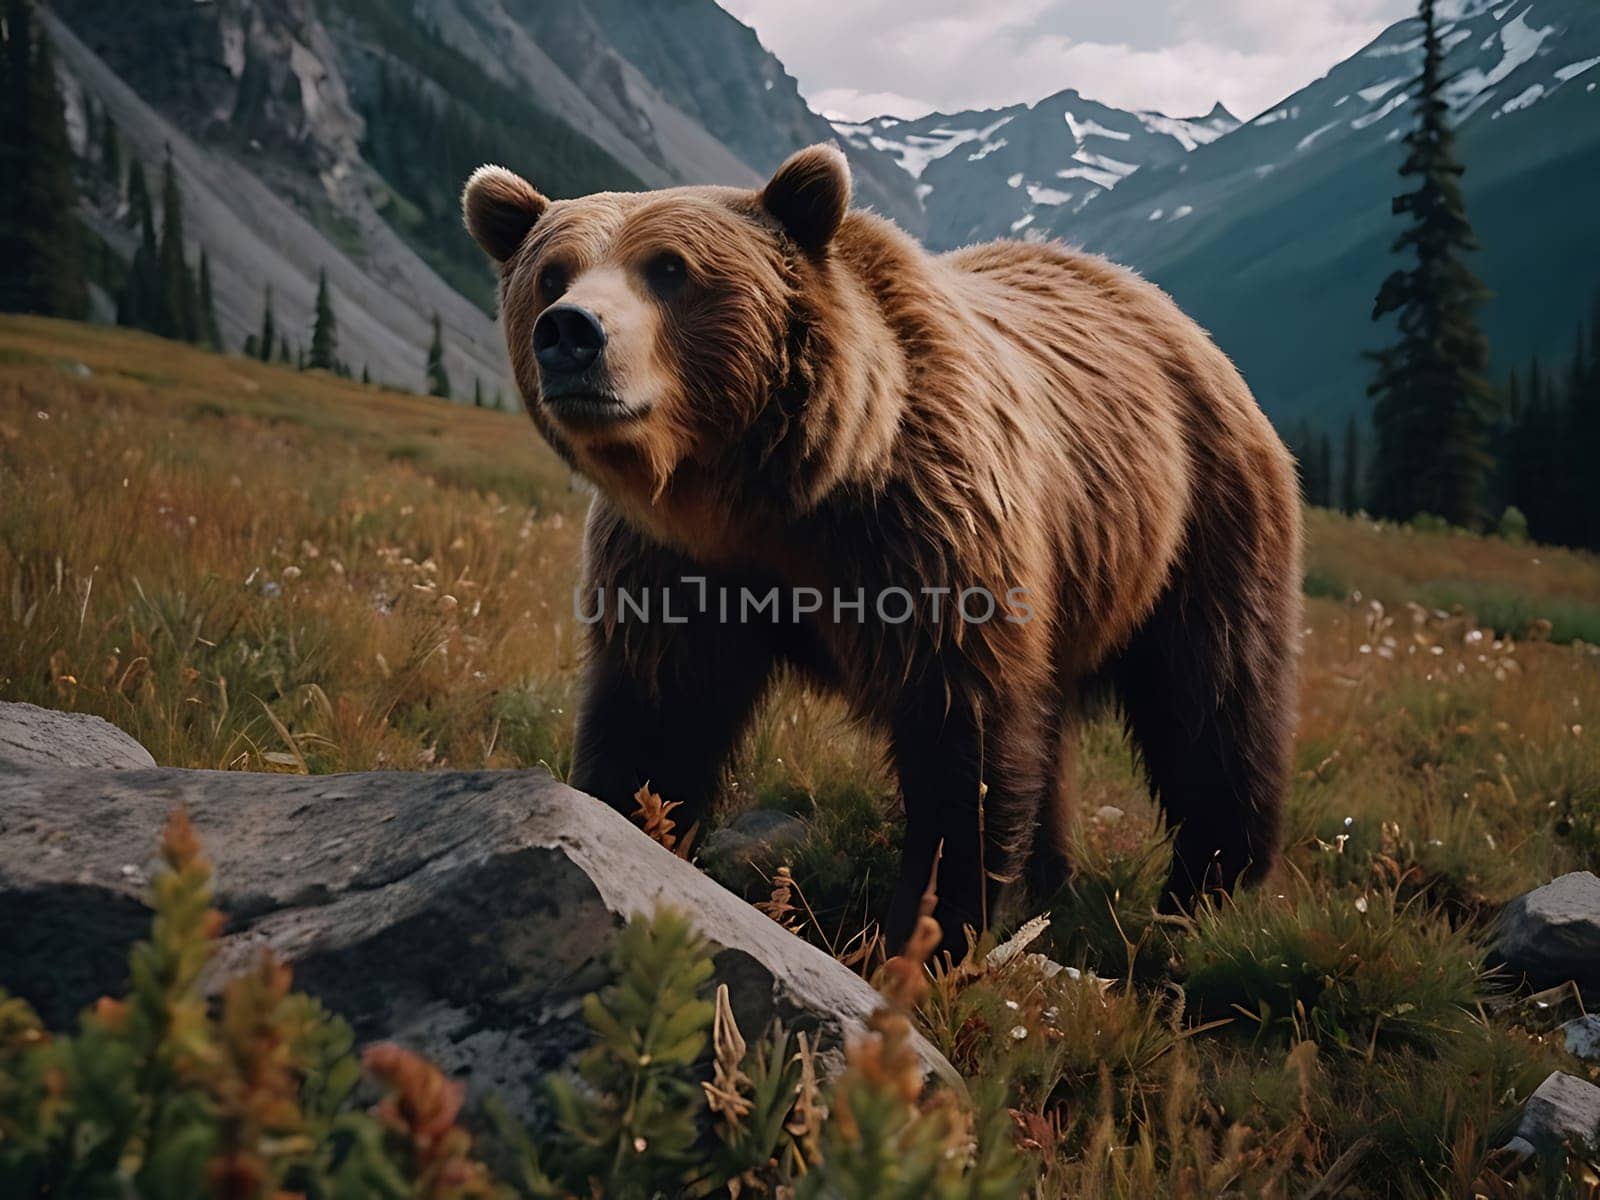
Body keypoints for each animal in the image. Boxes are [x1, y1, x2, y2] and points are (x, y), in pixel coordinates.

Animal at [460, 145, 1299, 960]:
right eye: (552, 271)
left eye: (670, 268)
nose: (571, 333)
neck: (765, 494)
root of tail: (1154, 300)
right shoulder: (675, 564)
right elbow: (657, 714)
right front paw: (625, 829)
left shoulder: (926, 534)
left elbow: (964, 744)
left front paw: (924, 935)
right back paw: (1052, 879)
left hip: (1200, 522)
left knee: (1212, 704)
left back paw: (1203, 896)